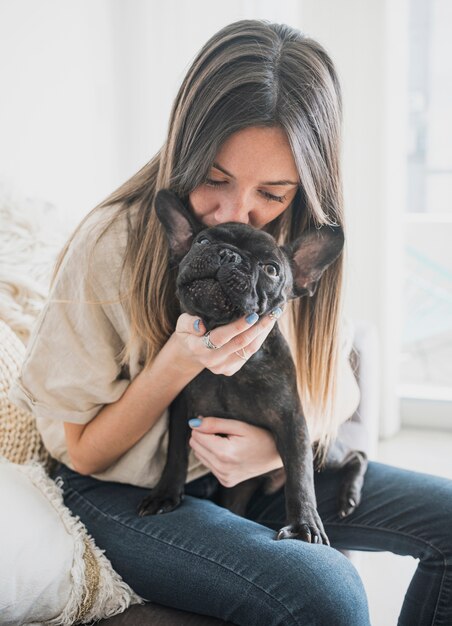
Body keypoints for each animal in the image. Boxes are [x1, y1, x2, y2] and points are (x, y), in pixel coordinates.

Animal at [139, 189, 368, 540]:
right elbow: (175, 454)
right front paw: (165, 494)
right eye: (201, 242)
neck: (234, 370)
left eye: (272, 270)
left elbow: (300, 477)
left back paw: (349, 495)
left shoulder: (294, 424)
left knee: (357, 455)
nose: (228, 255)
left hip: (324, 450)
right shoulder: (181, 412)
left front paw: (304, 524)